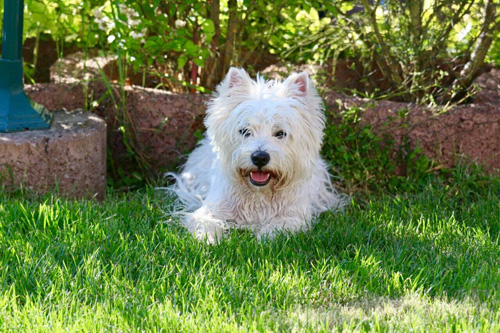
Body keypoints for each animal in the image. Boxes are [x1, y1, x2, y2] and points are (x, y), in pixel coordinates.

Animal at [168, 67, 344, 241]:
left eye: (280, 133)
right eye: (245, 131)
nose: (260, 157)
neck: (259, 195)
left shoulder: (293, 216)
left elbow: (277, 230)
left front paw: (264, 238)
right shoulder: (210, 210)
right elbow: (206, 224)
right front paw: (208, 240)